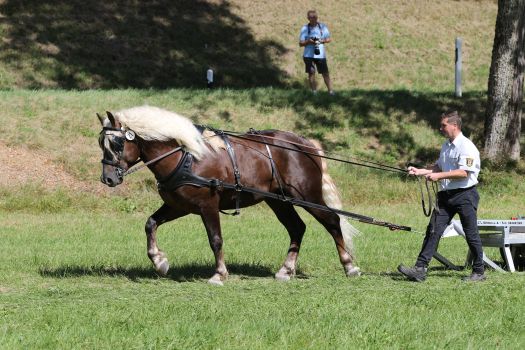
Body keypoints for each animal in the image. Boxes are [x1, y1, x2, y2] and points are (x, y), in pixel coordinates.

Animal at [97, 104, 360, 284]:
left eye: (117, 144)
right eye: (101, 143)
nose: (107, 179)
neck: (186, 155)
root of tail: (304, 143)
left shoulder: (208, 205)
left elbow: (215, 239)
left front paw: (219, 274)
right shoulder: (180, 206)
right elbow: (150, 224)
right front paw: (159, 261)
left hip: (306, 195)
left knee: (332, 221)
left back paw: (349, 266)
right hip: (279, 201)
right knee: (297, 227)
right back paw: (286, 270)